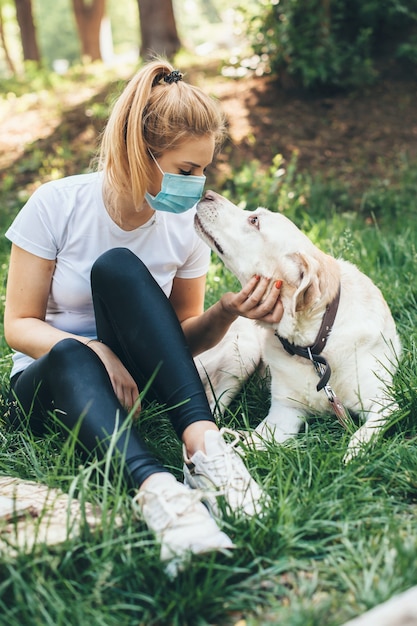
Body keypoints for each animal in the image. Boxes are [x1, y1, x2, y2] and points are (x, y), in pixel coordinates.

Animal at [193, 190, 402, 458]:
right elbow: (247, 448)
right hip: (244, 354)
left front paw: (353, 455)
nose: (207, 194)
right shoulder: (283, 415)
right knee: (212, 408)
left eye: (254, 220)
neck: (313, 343)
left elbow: (363, 434)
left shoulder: (385, 404)